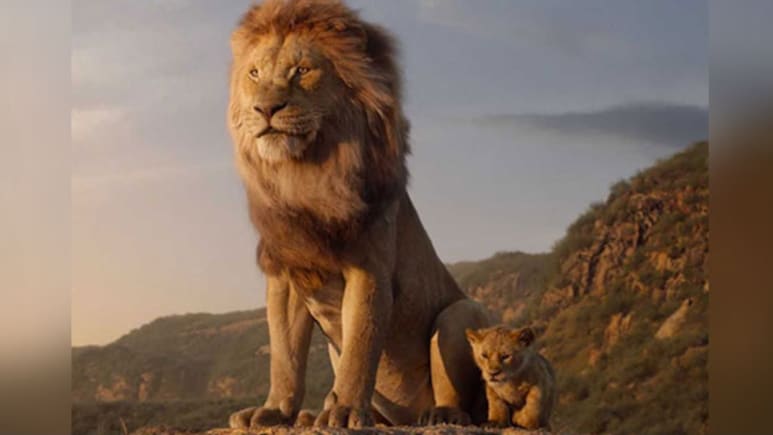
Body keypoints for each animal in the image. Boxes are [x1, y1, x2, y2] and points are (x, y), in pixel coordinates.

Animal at [225, 0, 495, 429]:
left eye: (302, 70)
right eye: (254, 74)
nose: (265, 108)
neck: (304, 175)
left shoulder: (369, 268)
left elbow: (360, 348)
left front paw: (345, 410)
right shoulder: (286, 274)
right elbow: (285, 356)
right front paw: (275, 410)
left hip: (461, 313)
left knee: (461, 398)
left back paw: (440, 414)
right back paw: (312, 416)